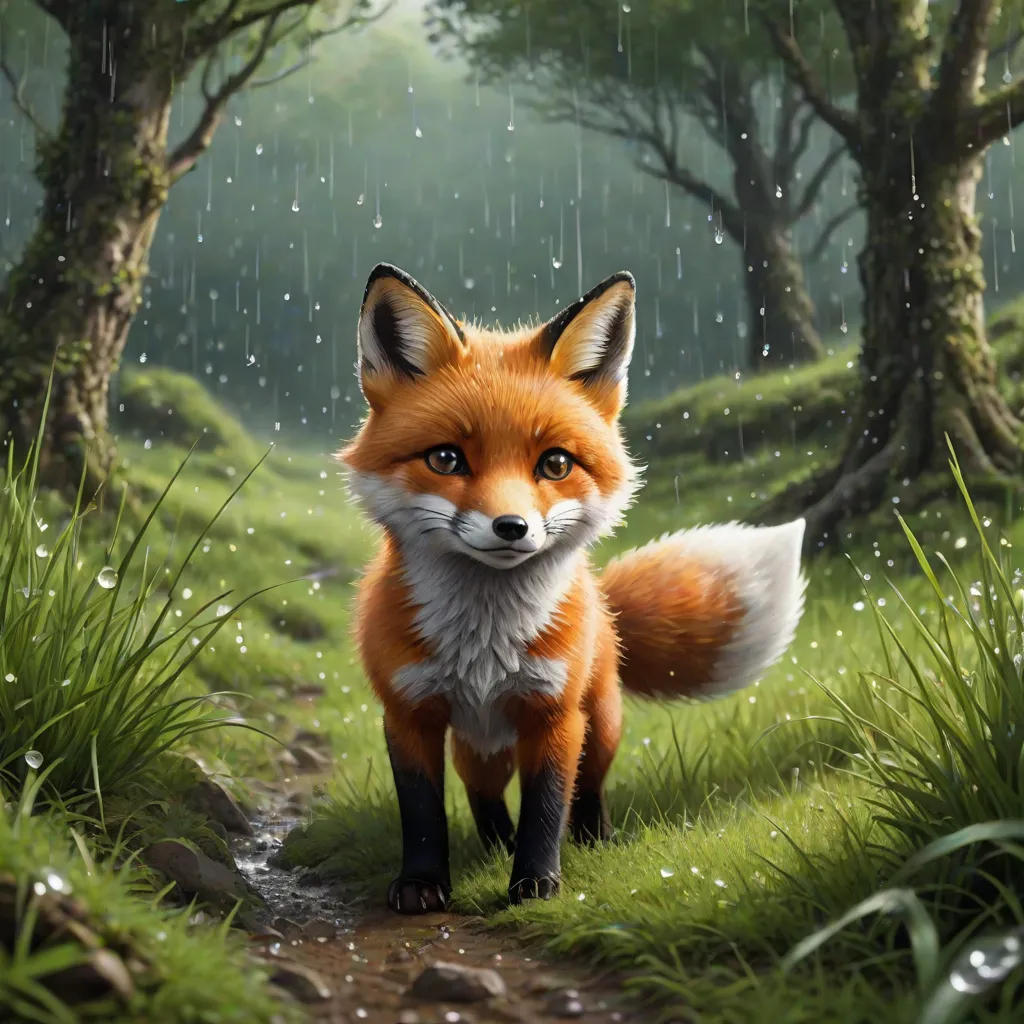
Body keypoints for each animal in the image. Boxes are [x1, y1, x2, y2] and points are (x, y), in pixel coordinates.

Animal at [338, 262, 806, 913]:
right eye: (445, 459)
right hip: (480, 744)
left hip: (600, 721)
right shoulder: (409, 713)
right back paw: (493, 844)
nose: (511, 528)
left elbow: (546, 804)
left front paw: (536, 884)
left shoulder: (554, 713)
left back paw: (591, 839)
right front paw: (424, 883)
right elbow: (423, 811)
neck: (484, 644)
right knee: (483, 794)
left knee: (588, 788)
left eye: (555, 464)